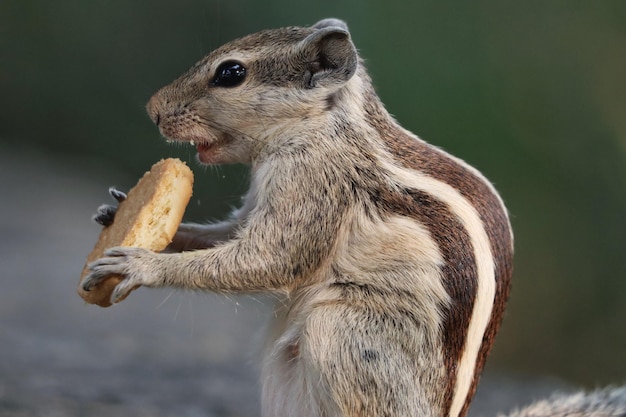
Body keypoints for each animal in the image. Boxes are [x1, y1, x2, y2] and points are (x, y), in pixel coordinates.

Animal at [84, 17, 624, 416]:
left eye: (231, 73)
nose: (153, 109)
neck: (323, 125)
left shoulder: (316, 185)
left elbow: (270, 259)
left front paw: (141, 264)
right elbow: (231, 235)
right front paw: (120, 214)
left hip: (343, 331)